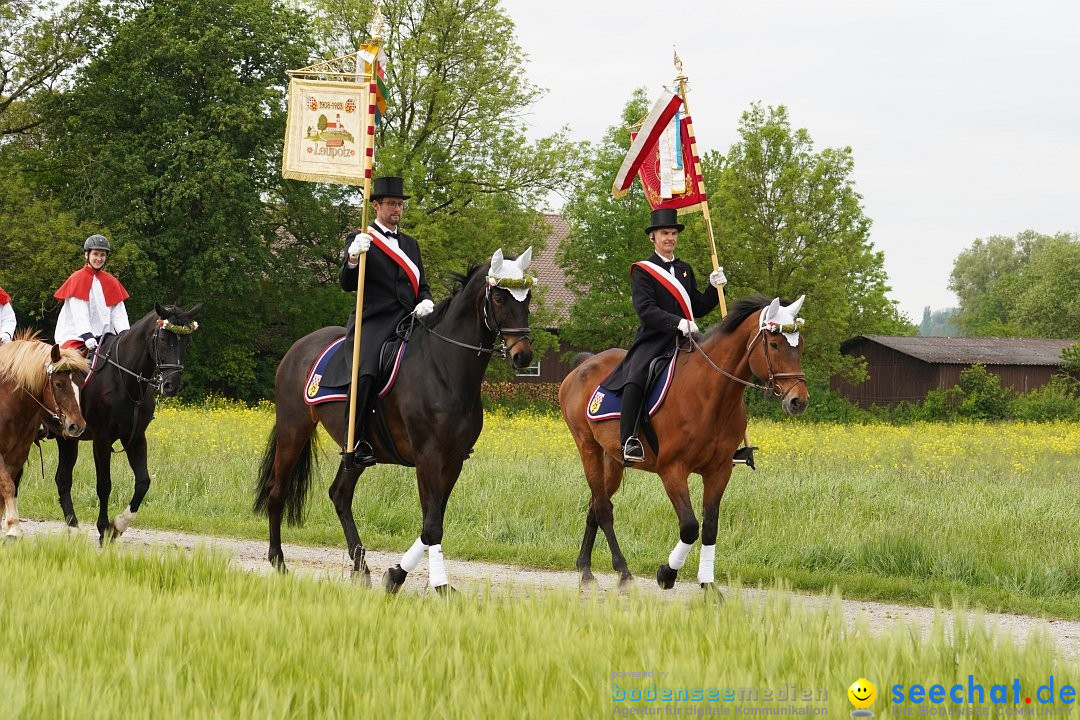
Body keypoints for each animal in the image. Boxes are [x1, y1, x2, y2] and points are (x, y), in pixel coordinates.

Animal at [0, 334, 88, 537]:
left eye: (81, 384)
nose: (76, 426)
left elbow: (9, 485)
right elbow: (8, 485)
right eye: (58, 384)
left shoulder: (18, 454)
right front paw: (13, 528)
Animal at [50, 302, 203, 544]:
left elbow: (143, 482)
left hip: (68, 439)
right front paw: (104, 528)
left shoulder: (136, 439)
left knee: (62, 479)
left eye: (186, 342)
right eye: (162, 339)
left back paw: (73, 528)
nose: (172, 385)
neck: (124, 378)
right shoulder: (101, 441)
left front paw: (118, 525)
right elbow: (104, 485)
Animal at [561, 295, 807, 595]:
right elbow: (689, 526)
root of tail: (582, 366)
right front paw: (667, 573)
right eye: (774, 344)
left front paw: (708, 584)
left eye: (799, 345)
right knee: (603, 509)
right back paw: (622, 572)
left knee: (595, 504)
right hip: (588, 448)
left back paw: (585, 568)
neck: (711, 394)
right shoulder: (672, 470)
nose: (798, 401)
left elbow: (710, 527)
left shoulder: (719, 471)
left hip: (613, 460)